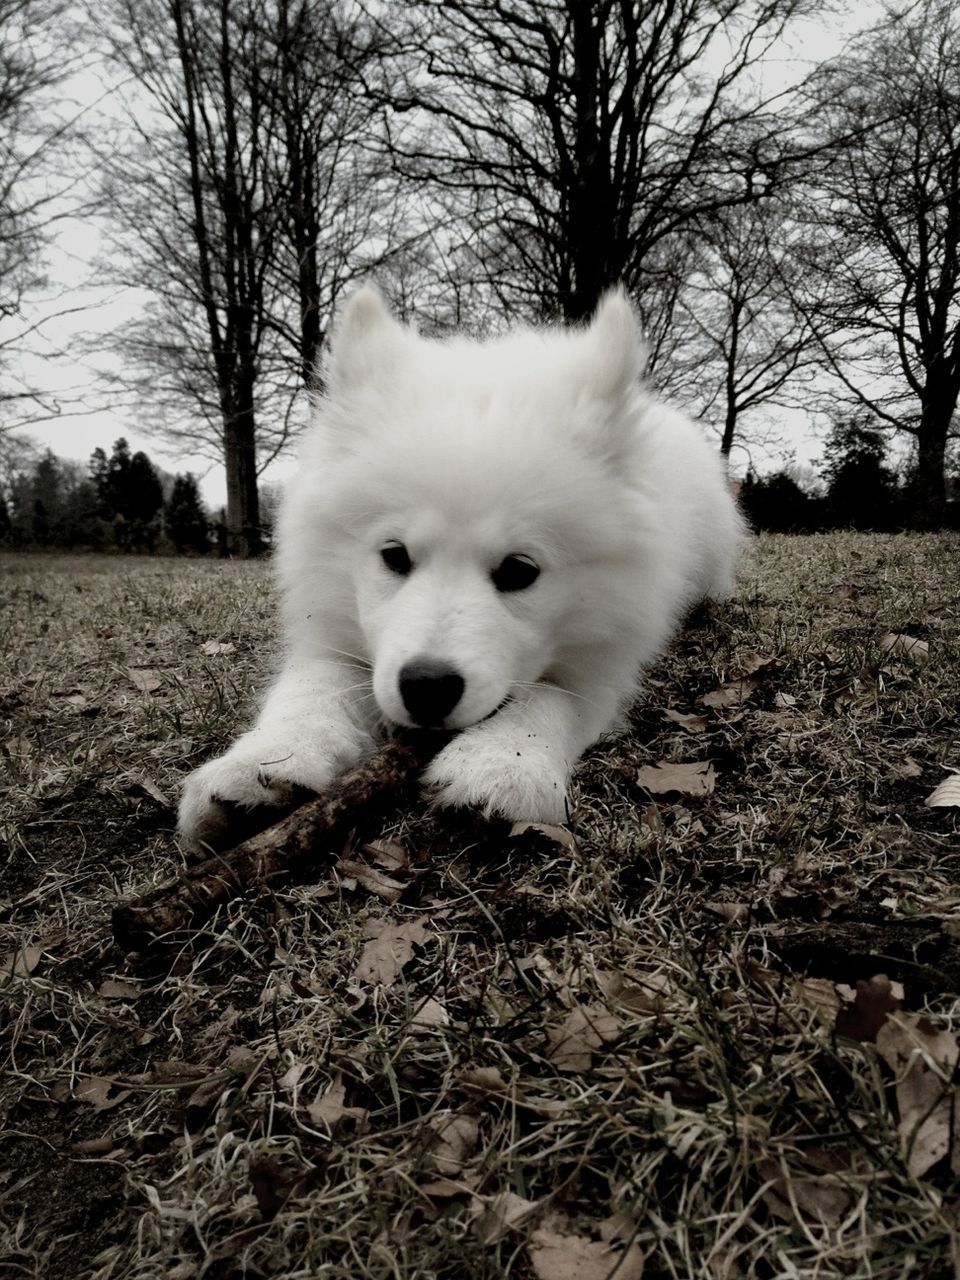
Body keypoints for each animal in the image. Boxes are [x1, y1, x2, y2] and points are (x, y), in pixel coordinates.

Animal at [179, 288, 742, 849]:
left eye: (519, 570)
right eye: (394, 555)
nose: (427, 687)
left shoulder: (606, 661)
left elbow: (553, 697)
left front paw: (503, 765)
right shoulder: (332, 632)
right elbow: (312, 687)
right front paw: (263, 763)